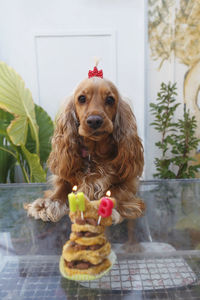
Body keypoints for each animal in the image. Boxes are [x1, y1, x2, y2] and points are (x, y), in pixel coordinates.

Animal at [25, 76, 145, 224]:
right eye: (82, 98)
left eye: (110, 99)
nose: (94, 121)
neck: (94, 154)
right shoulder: (64, 176)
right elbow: (61, 188)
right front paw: (47, 204)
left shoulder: (128, 182)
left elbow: (116, 191)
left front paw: (103, 208)